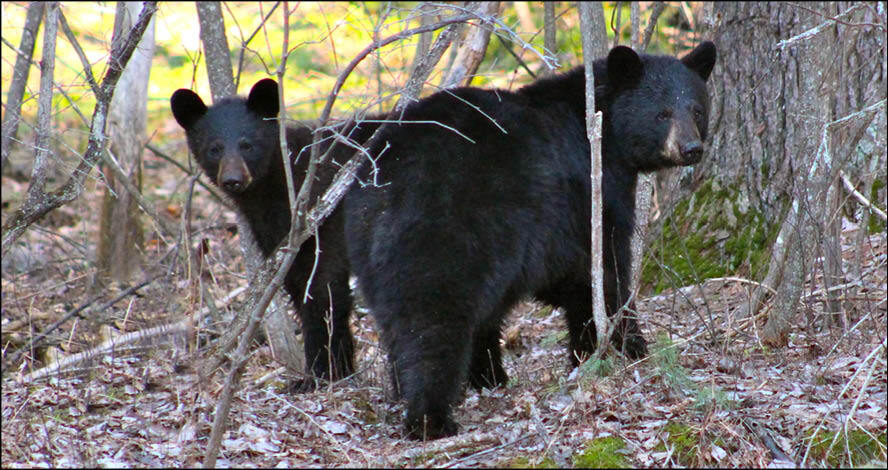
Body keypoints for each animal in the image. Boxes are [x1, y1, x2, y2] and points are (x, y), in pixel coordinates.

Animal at [342, 41, 716, 439]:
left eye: (696, 109)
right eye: (662, 114)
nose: (691, 148)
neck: (602, 131)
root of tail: (384, 184)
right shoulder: (590, 195)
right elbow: (604, 271)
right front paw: (625, 346)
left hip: (372, 252)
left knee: (402, 324)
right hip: (443, 235)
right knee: (433, 322)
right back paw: (431, 418)